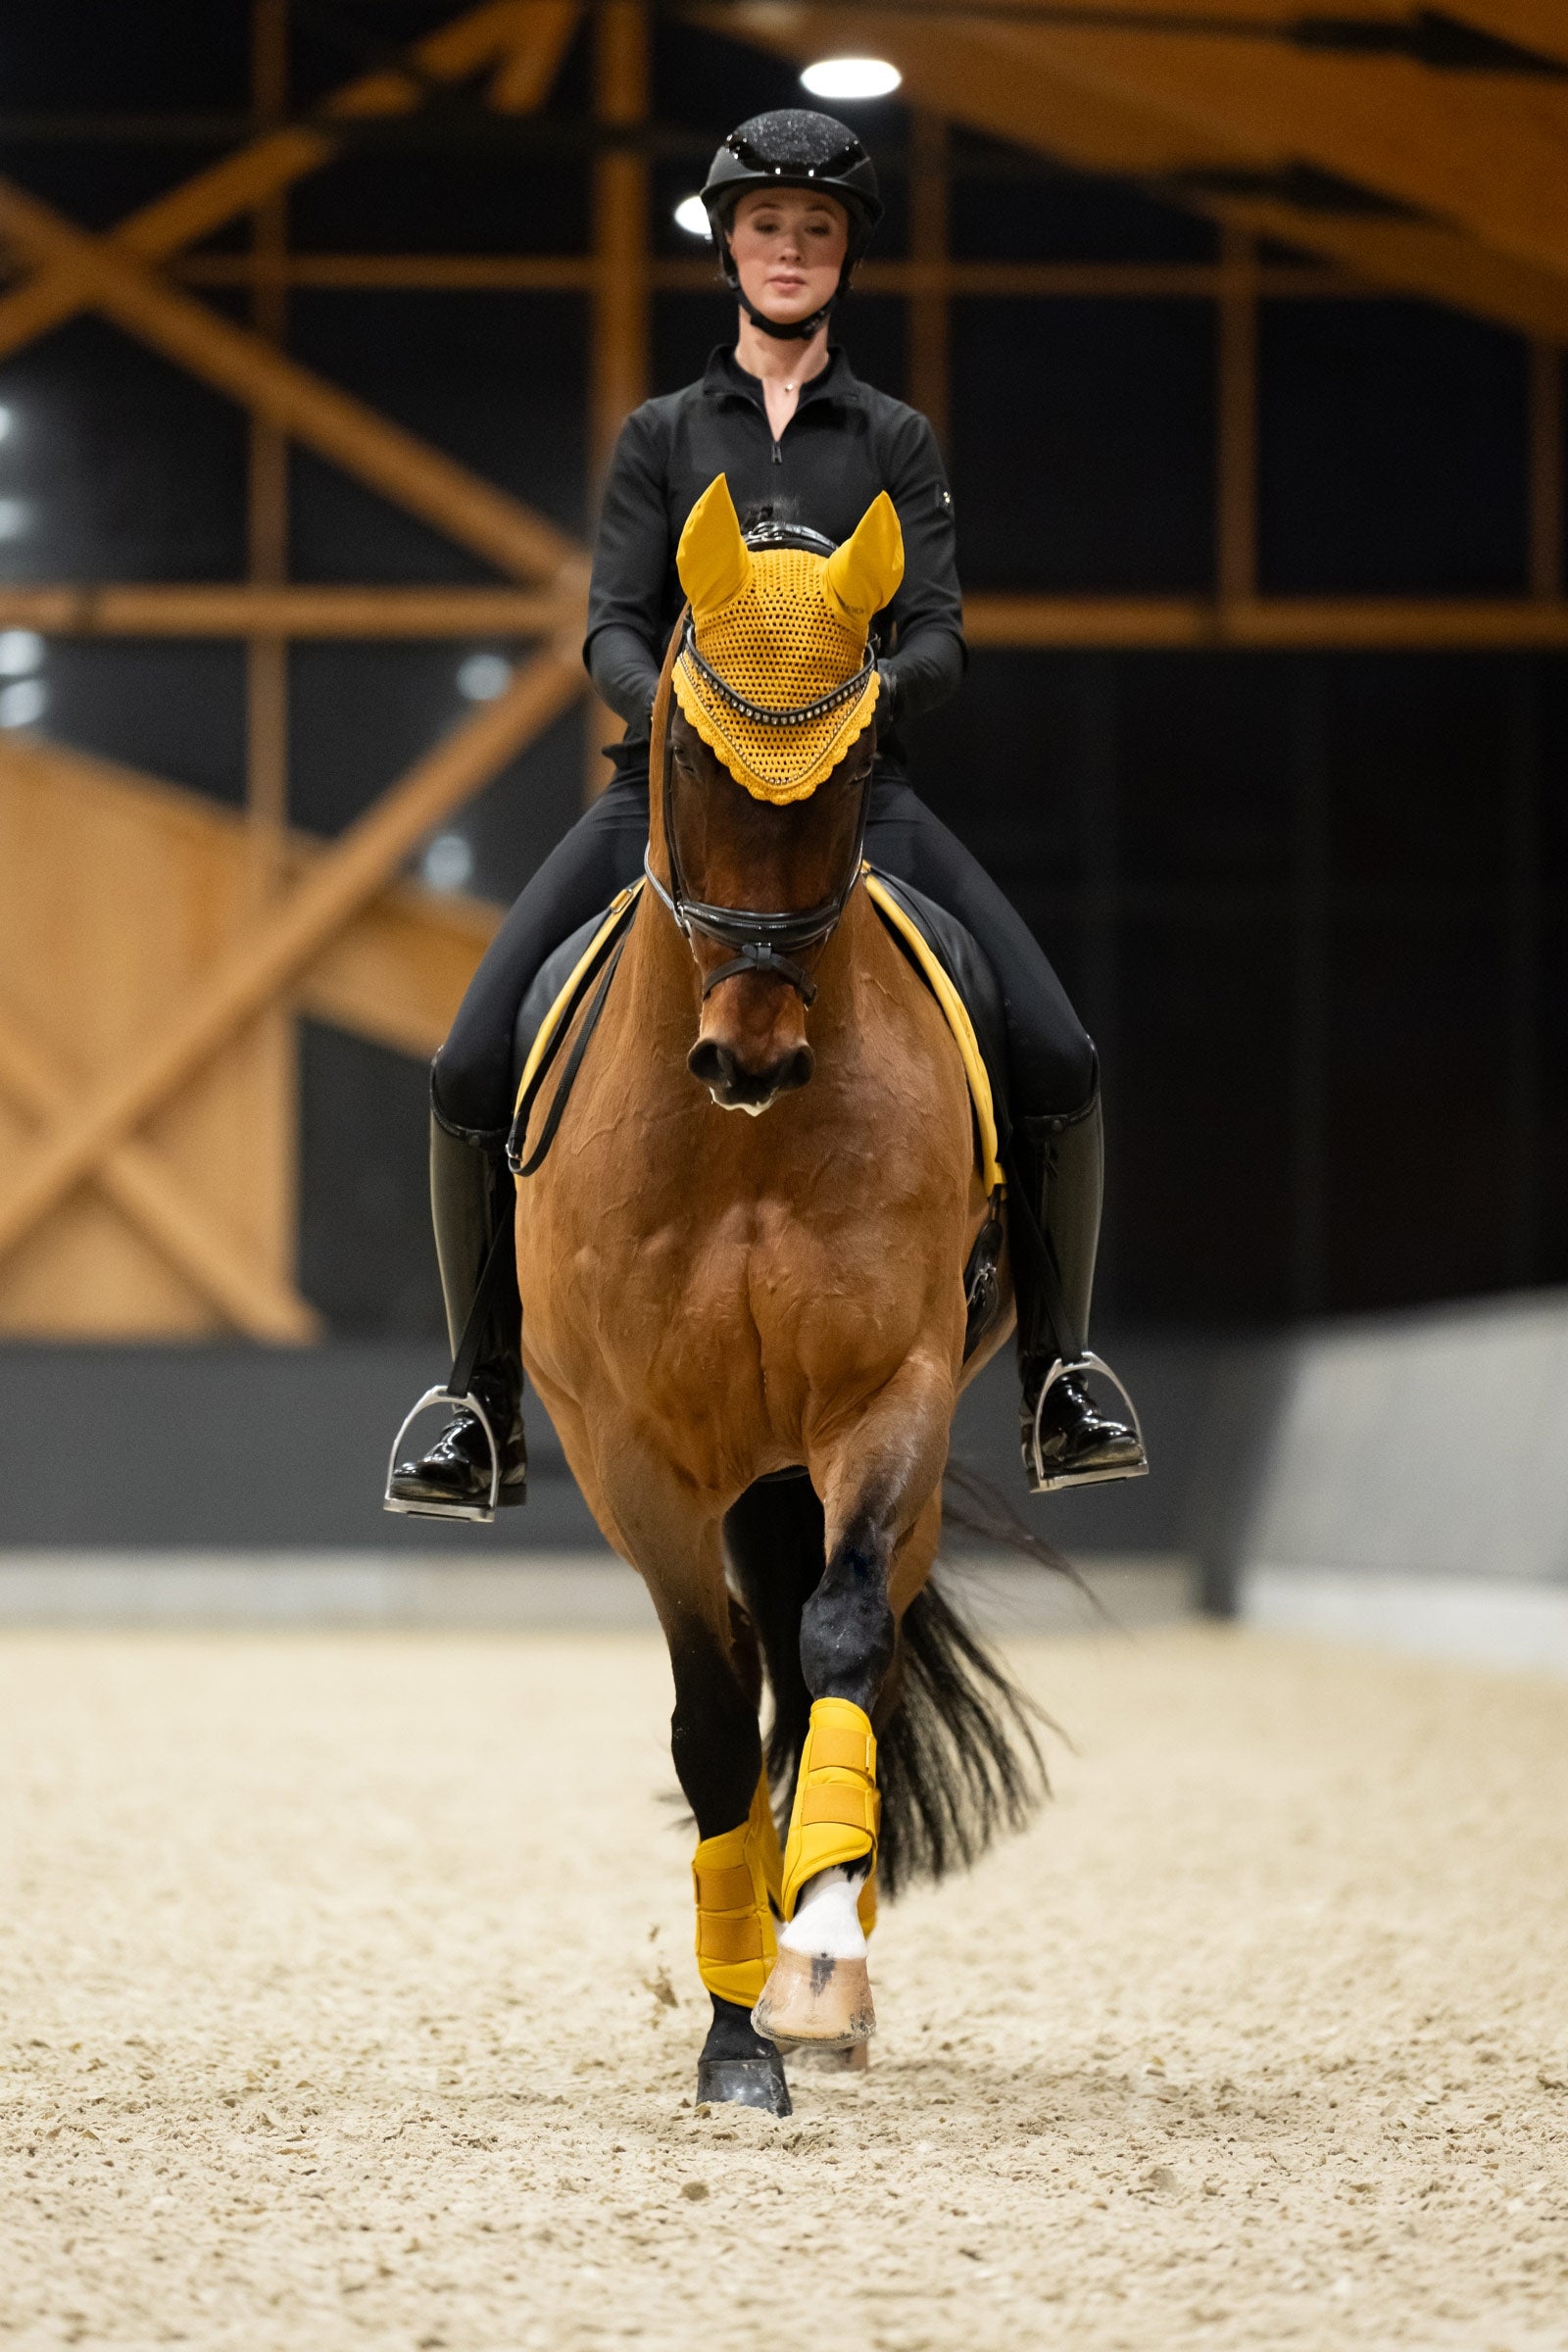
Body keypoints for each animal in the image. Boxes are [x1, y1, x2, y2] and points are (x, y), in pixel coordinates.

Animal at [511, 476, 1046, 2114]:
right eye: (686, 751)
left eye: (861, 757)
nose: (750, 1056)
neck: (742, 1146)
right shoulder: (634, 1454)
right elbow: (705, 1725)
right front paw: (736, 2039)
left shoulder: (889, 1396)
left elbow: (842, 1647)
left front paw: (810, 1964)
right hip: (741, 1478)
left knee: (834, 1653)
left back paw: (833, 1954)